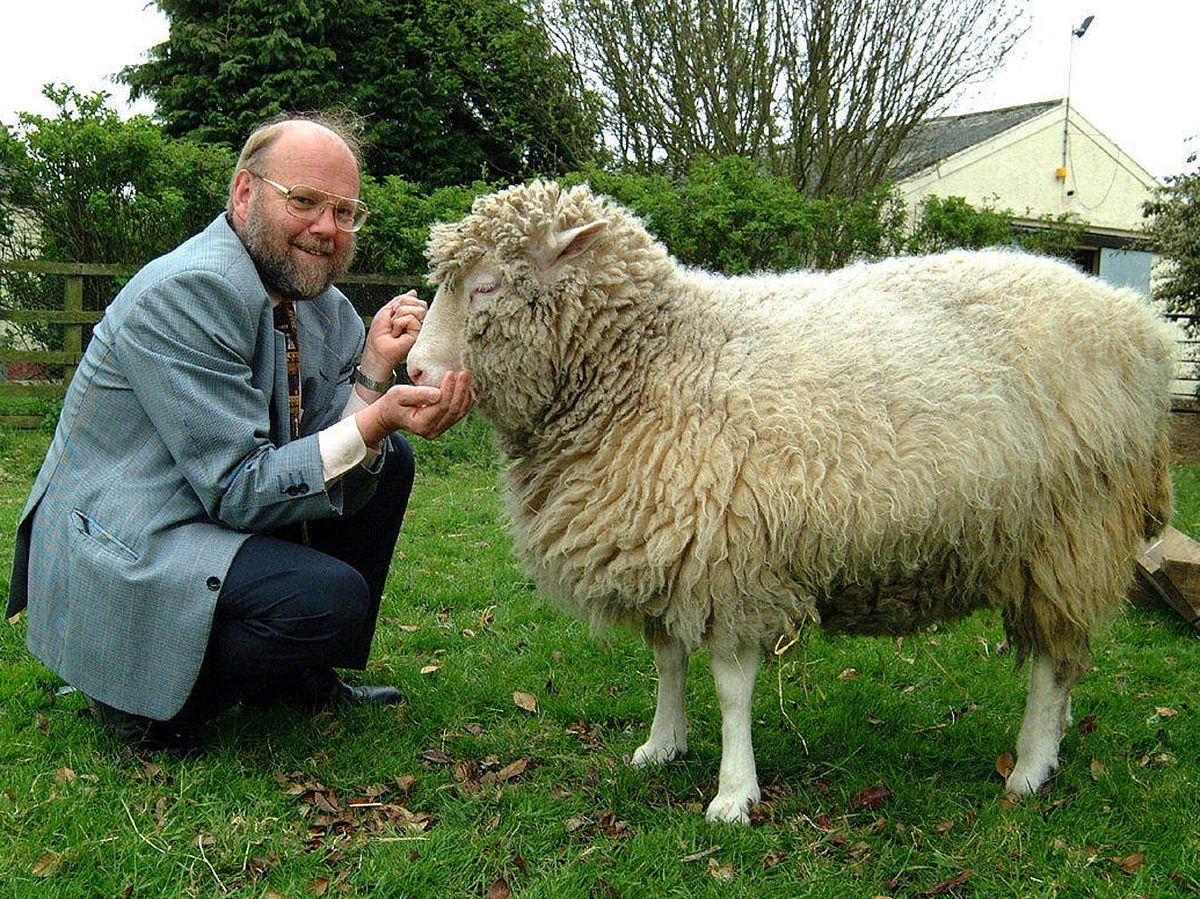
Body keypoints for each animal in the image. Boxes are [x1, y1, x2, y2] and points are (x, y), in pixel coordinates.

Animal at [407, 180, 1178, 824]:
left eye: (484, 287)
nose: (413, 369)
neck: (654, 359)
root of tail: (1141, 325)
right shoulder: (664, 541)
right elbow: (666, 660)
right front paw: (662, 744)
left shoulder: (728, 557)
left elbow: (730, 687)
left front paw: (733, 792)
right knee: (1066, 652)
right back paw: (1059, 733)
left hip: (1070, 526)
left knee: (1050, 661)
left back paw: (1030, 764)